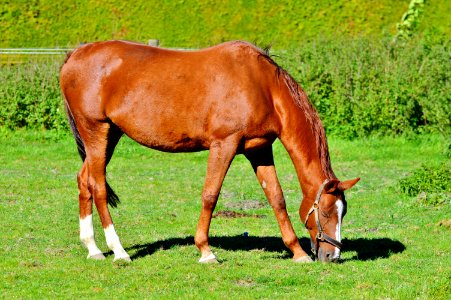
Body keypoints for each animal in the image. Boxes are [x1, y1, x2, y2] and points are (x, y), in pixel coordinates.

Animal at [60, 39, 360, 262]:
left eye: (343, 212)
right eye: (326, 212)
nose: (332, 255)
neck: (261, 85)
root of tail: (75, 55)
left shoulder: (260, 149)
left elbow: (276, 198)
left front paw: (297, 252)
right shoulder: (223, 145)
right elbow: (210, 195)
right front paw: (205, 251)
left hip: (109, 135)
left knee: (84, 181)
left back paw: (93, 248)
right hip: (96, 132)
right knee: (98, 186)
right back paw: (119, 251)